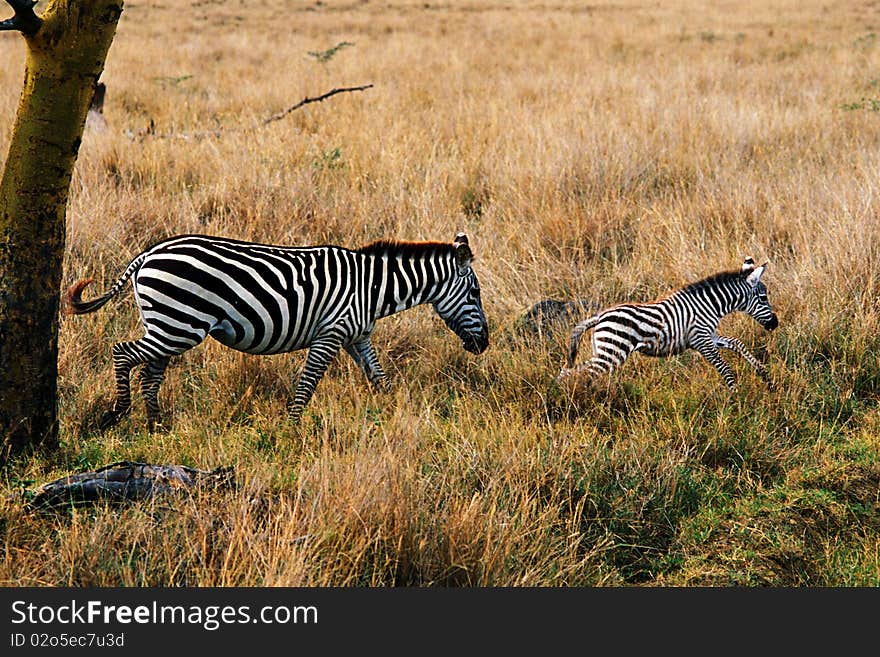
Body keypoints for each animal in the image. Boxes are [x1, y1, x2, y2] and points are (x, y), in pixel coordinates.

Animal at [63, 232, 488, 430]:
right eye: (475, 293)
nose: (484, 344)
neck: (372, 288)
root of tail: (147, 254)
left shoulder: (357, 336)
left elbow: (378, 377)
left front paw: (392, 412)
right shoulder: (330, 334)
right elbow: (308, 383)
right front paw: (292, 428)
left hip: (169, 322)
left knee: (150, 373)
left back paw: (156, 426)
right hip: (178, 325)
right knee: (122, 353)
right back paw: (117, 413)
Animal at [560, 256, 780, 390]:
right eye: (763, 298)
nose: (775, 324)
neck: (710, 305)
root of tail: (600, 316)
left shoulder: (708, 336)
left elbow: (737, 343)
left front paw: (765, 377)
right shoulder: (701, 340)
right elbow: (724, 368)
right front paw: (735, 394)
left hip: (604, 351)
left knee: (572, 369)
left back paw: (562, 390)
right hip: (612, 352)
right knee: (587, 372)